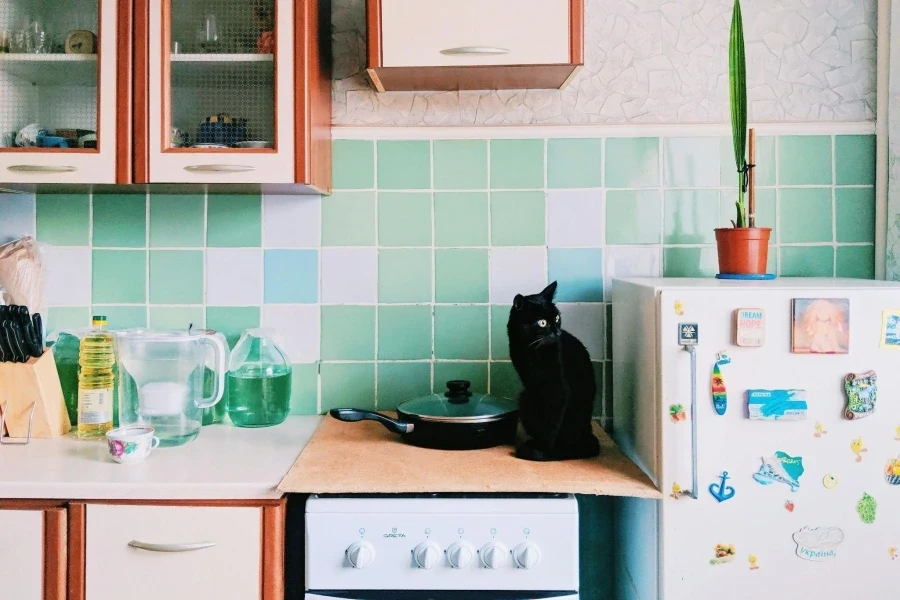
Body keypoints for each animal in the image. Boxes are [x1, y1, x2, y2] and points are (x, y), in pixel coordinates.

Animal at [506, 284, 596, 462]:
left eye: (556, 318)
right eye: (542, 322)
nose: (557, 332)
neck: (531, 349)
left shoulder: (558, 387)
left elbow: (552, 422)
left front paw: (543, 451)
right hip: (526, 398)